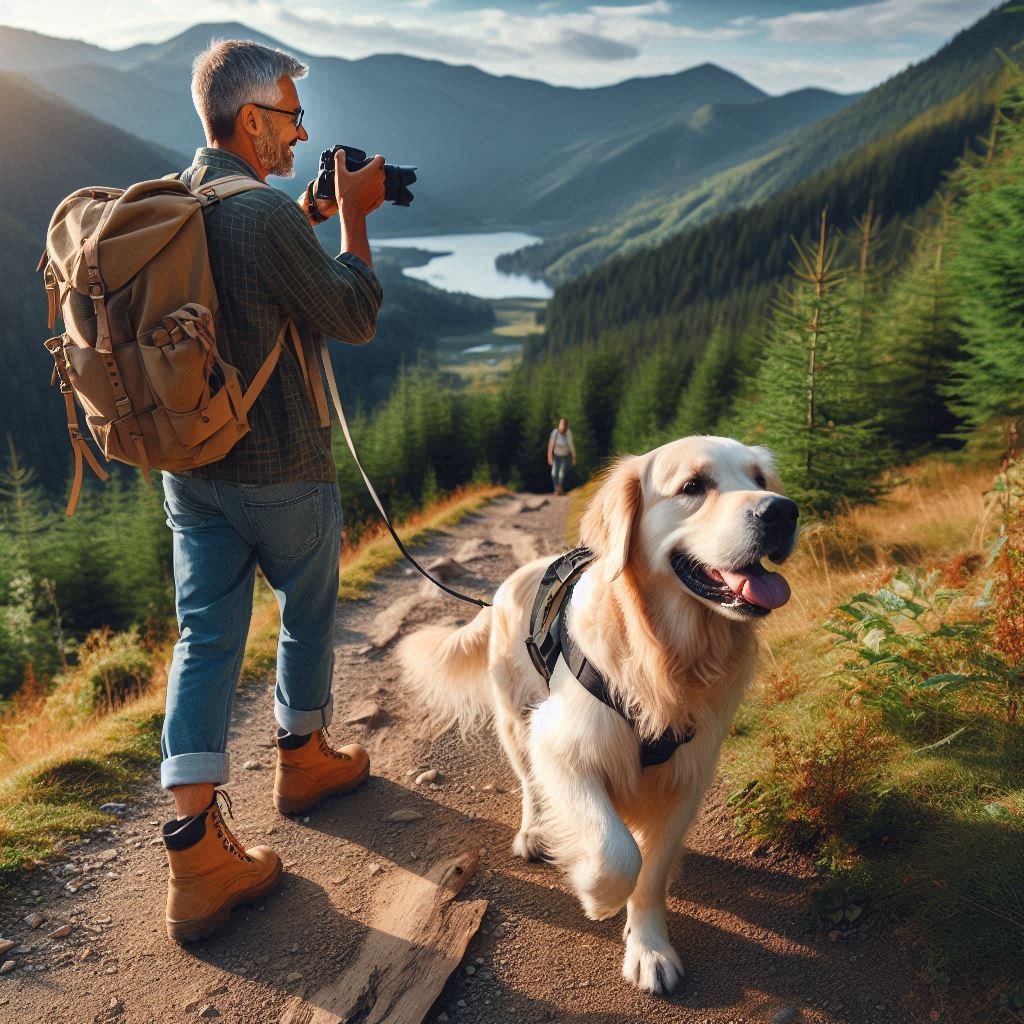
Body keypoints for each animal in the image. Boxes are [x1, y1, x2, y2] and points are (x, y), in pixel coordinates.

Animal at [395, 436, 794, 995]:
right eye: (693, 485)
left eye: (759, 480)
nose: (782, 512)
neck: (666, 652)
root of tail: (504, 587)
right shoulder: (563, 744)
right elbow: (616, 850)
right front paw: (595, 891)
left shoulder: (688, 774)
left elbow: (650, 871)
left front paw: (649, 948)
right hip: (517, 721)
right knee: (529, 785)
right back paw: (535, 833)